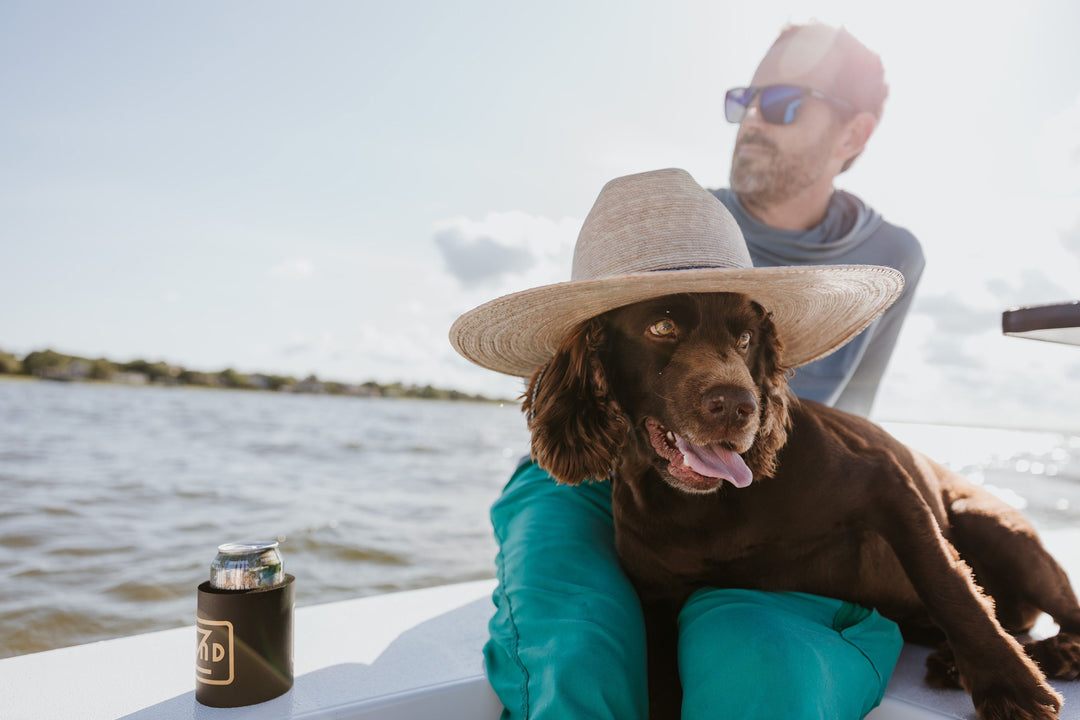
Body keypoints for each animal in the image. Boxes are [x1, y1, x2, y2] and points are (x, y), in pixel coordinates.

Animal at [527, 291, 1080, 720]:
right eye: (661, 326)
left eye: (745, 340)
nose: (738, 406)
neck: (707, 507)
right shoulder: (656, 597)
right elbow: (659, 685)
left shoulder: (885, 483)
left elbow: (947, 584)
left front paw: (1010, 686)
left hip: (989, 523)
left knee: (1061, 610)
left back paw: (1057, 653)